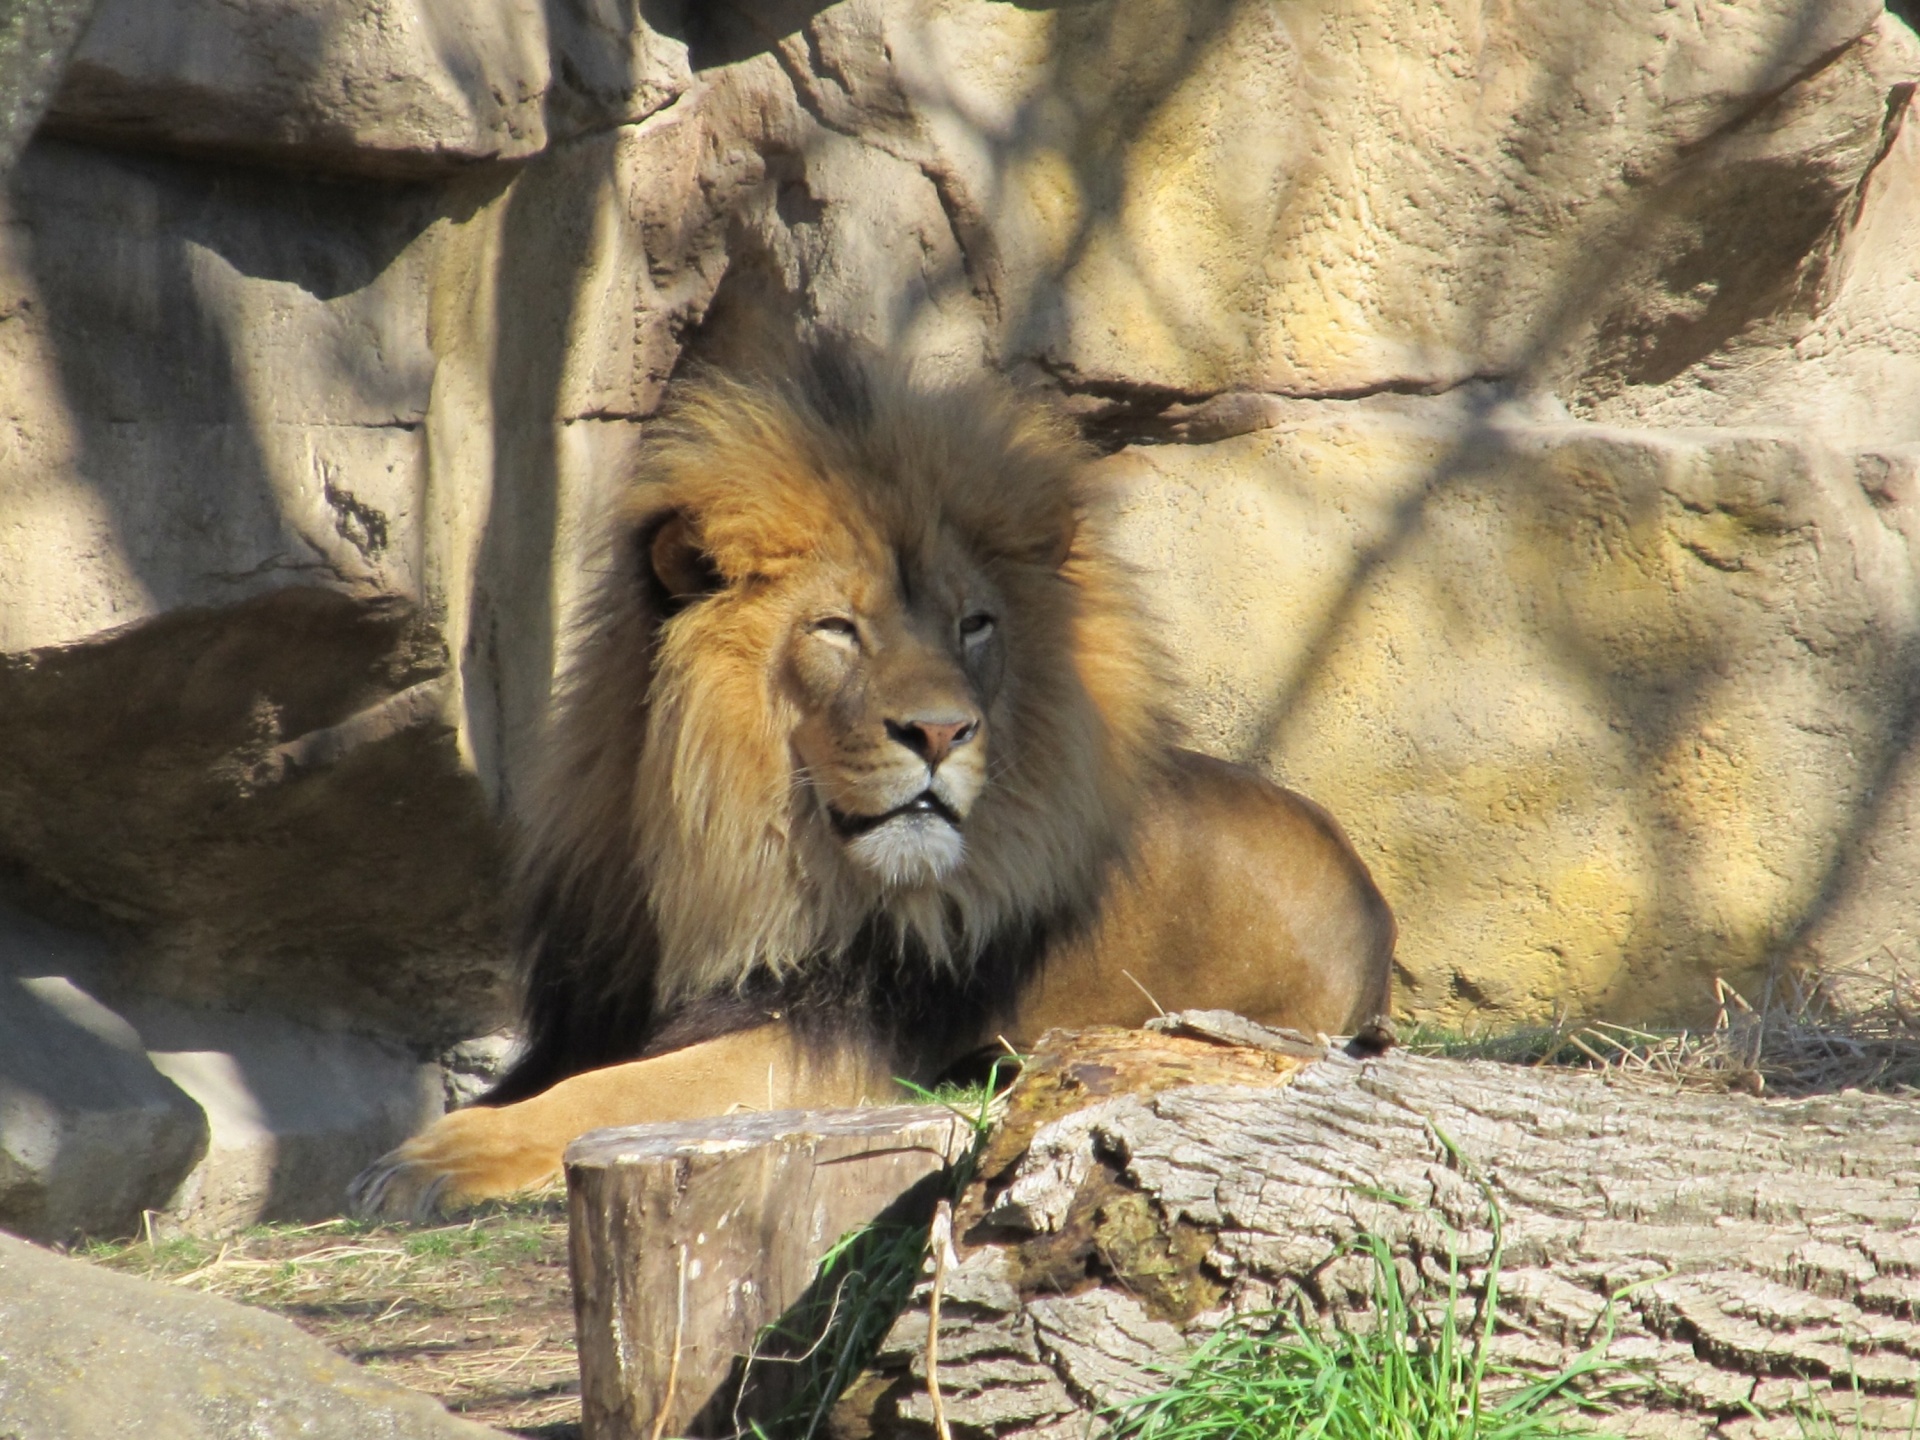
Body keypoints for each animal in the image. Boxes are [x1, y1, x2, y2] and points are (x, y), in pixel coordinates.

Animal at [349, 343, 1397, 1221]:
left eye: (974, 625)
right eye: (838, 630)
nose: (940, 730)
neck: (713, 866)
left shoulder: (828, 1042)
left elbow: (615, 1091)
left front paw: (431, 1161)